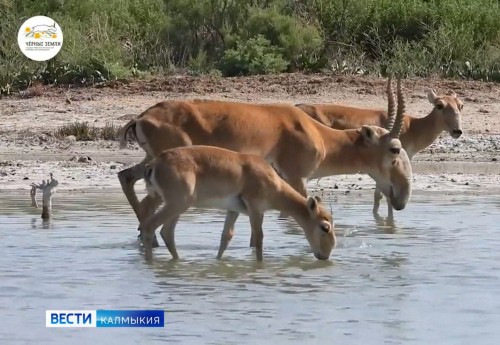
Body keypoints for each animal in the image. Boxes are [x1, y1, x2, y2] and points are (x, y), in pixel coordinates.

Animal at [119, 76, 412, 231]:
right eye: (395, 149)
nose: (401, 200)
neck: (315, 132)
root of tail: (142, 117)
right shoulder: (296, 179)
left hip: (149, 163)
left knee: (126, 177)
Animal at [139, 144, 338, 260]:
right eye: (325, 226)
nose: (325, 255)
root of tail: (155, 163)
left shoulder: (233, 211)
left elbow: (225, 238)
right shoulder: (256, 210)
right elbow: (259, 238)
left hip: (176, 206)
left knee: (166, 232)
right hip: (177, 204)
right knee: (150, 227)